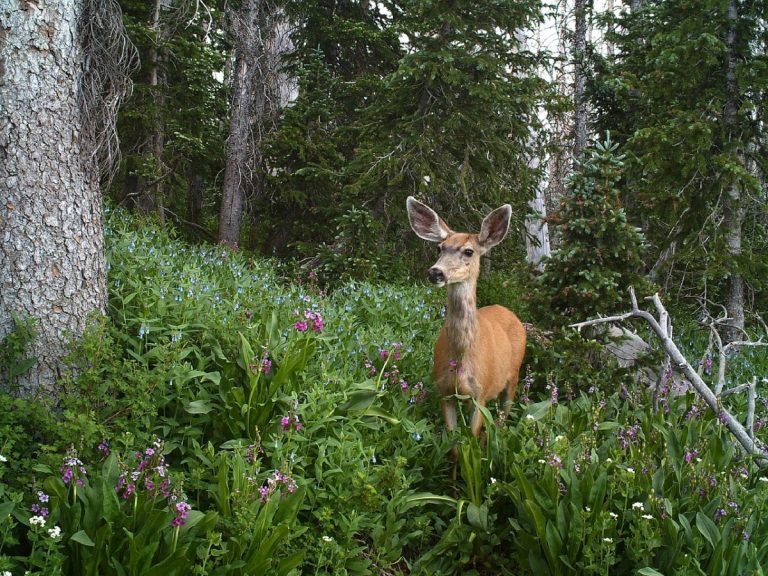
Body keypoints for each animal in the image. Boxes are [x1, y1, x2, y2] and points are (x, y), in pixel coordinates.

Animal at [406, 196, 526, 478]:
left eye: (469, 251)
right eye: (440, 247)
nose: (435, 272)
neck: (461, 355)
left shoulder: (479, 395)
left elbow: (470, 446)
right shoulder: (444, 392)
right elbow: (454, 449)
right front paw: (451, 486)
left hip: (514, 376)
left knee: (501, 422)